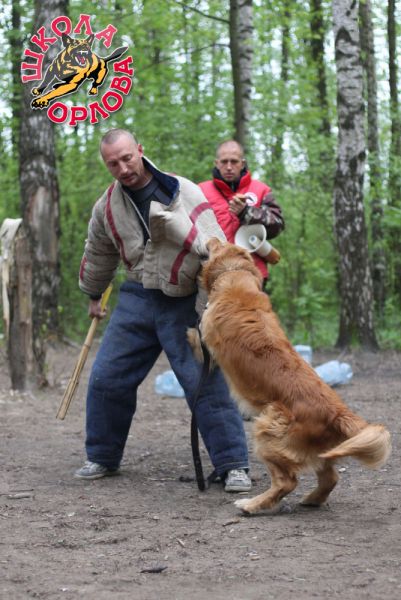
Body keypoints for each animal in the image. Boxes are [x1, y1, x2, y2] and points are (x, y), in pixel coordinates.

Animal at [187, 238, 391, 514]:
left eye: (217, 243)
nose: (209, 238)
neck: (237, 276)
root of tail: (339, 412)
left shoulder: (207, 340)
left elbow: (195, 338)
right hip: (318, 451)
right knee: (330, 477)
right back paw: (312, 499)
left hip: (268, 429)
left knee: (286, 482)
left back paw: (251, 505)